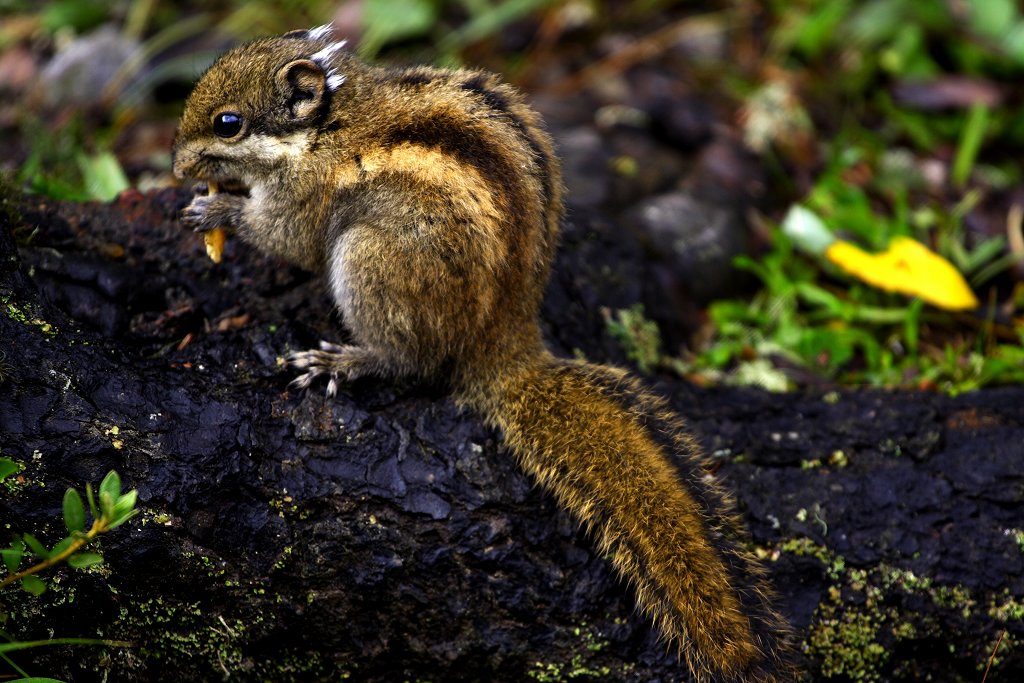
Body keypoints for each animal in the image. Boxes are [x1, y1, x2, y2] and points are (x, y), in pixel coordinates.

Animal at [172, 24, 798, 679]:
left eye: (228, 123)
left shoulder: (304, 197)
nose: (177, 165)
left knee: (409, 358)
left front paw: (216, 208)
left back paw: (340, 362)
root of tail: (504, 349)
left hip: (373, 260)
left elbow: (284, 239)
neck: (323, 129)